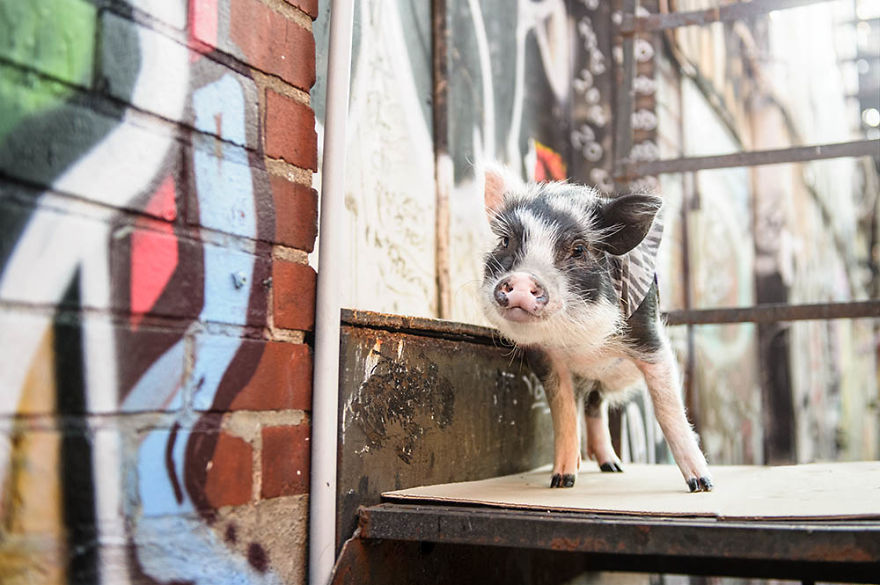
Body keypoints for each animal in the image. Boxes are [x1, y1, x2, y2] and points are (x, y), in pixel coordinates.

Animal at [479, 165, 712, 492]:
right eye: (504, 241)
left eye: (579, 249)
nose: (523, 279)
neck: (582, 344)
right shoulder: (548, 360)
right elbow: (564, 413)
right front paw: (561, 482)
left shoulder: (650, 340)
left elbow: (668, 410)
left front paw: (701, 485)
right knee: (589, 407)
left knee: (595, 405)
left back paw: (614, 468)